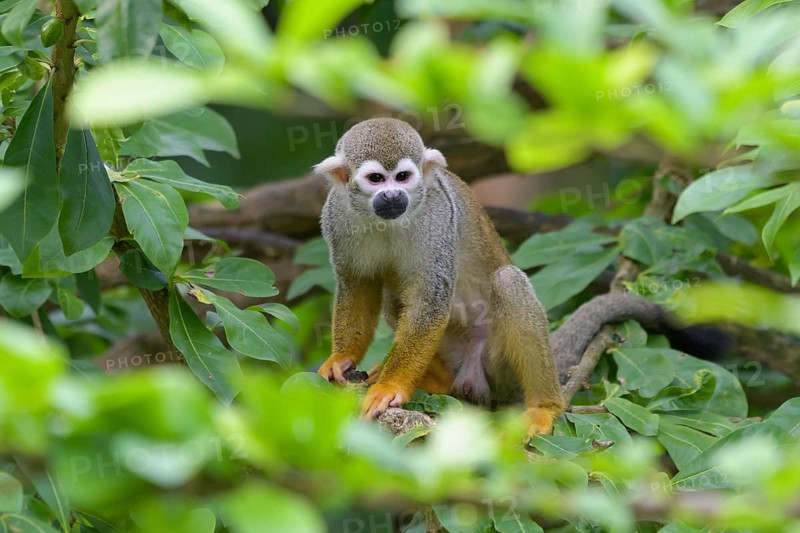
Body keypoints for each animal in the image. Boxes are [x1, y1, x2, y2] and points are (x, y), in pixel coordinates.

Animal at [313, 117, 564, 436]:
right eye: (376, 179)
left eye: (403, 176)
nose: (393, 195)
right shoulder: (336, 214)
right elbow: (357, 285)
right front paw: (341, 358)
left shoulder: (438, 215)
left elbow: (430, 299)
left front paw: (389, 387)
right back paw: (438, 380)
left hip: (499, 369)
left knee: (509, 282)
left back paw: (545, 407)